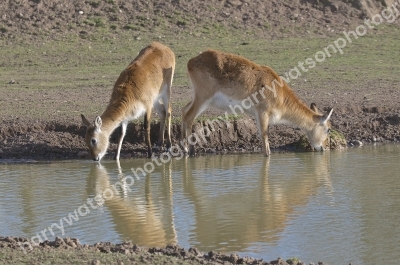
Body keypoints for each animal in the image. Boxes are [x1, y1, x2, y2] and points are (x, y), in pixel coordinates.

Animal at [181, 50, 332, 155]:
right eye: (328, 129)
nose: (324, 147)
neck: (280, 95)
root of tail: (191, 61)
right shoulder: (262, 113)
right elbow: (266, 144)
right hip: (203, 98)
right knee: (188, 116)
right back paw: (186, 150)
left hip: (199, 98)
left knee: (184, 110)